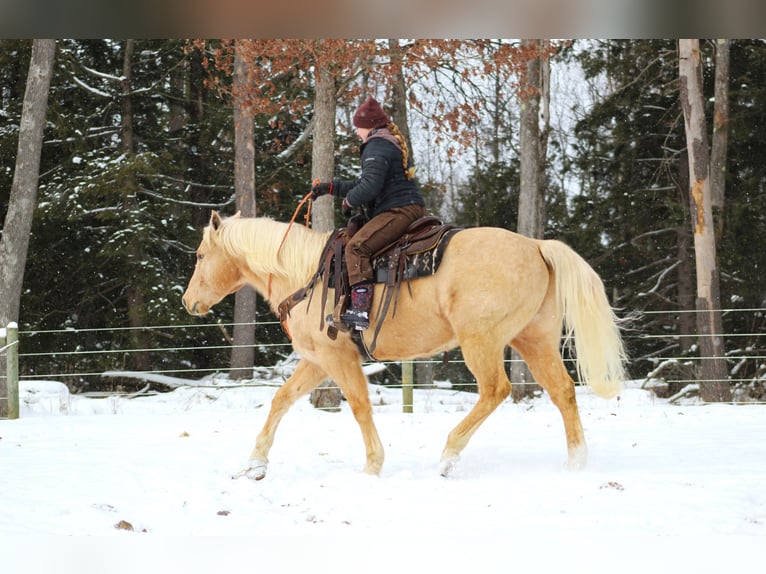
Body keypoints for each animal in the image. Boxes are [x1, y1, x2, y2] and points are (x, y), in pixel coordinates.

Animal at [183, 212, 628, 482]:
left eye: (201, 255)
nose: (188, 302)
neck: (307, 276)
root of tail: (536, 246)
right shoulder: (317, 361)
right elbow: (281, 400)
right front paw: (255, 462)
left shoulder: (337, 358)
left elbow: (359, 406)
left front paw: (373, 465)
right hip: (534, 340)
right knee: (563, 391)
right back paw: (576, 461)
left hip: (480, 341)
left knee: (495, 390)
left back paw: (450, 454)